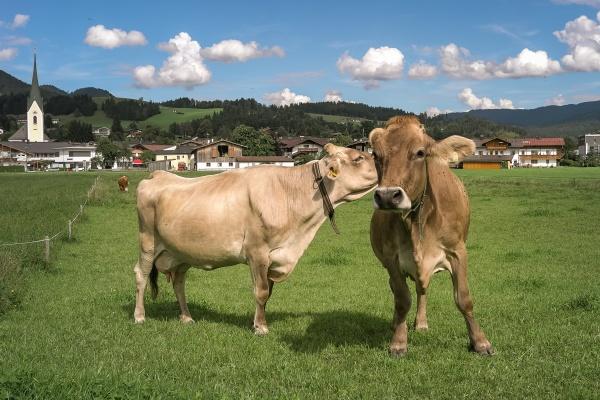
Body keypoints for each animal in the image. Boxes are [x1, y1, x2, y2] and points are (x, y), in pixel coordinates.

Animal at [132, 145, 376, 334]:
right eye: (359, 158)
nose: (382, 163)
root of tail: (157, 175)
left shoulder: (275, 256)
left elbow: (267, 294)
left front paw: (256, 322)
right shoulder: (257, 252)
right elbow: (261, 291)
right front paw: (261, 327)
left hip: (181, 252)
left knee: (179, 282)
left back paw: (186, 317)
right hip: (148, 242)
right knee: (141, 275)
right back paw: (139, 316)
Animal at [370, 115, 492, 356]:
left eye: (420, 153)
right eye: (375, 155)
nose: (387, 196)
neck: (417, 223)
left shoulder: (458, 251)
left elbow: (464, 298)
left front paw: (480, 342)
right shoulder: (391, 258)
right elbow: (402, 299)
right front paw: (398, 341)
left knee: (422, 289)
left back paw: (421, 322)